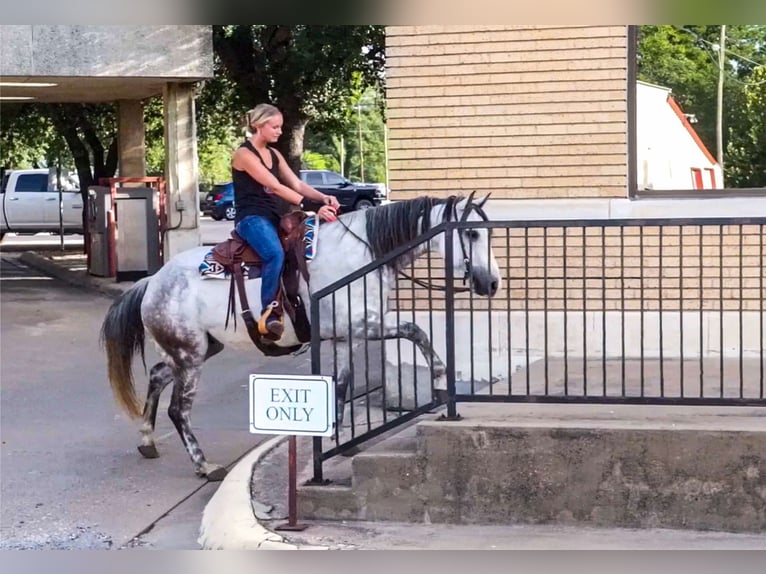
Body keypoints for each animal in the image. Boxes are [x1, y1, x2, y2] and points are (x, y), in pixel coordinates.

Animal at [99, 194, 500, 482]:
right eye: (471, 233)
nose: (492, 283)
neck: (363, 252)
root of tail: (152, 282)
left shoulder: (345, 337)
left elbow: (342, 386)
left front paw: (337, 441)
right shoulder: (363, 325)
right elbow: (414, 329)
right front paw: (439, 376)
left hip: (197, 350)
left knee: (156, 376)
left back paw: (147, 440)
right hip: (191, 354)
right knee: (178, 409)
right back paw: (205, 465)